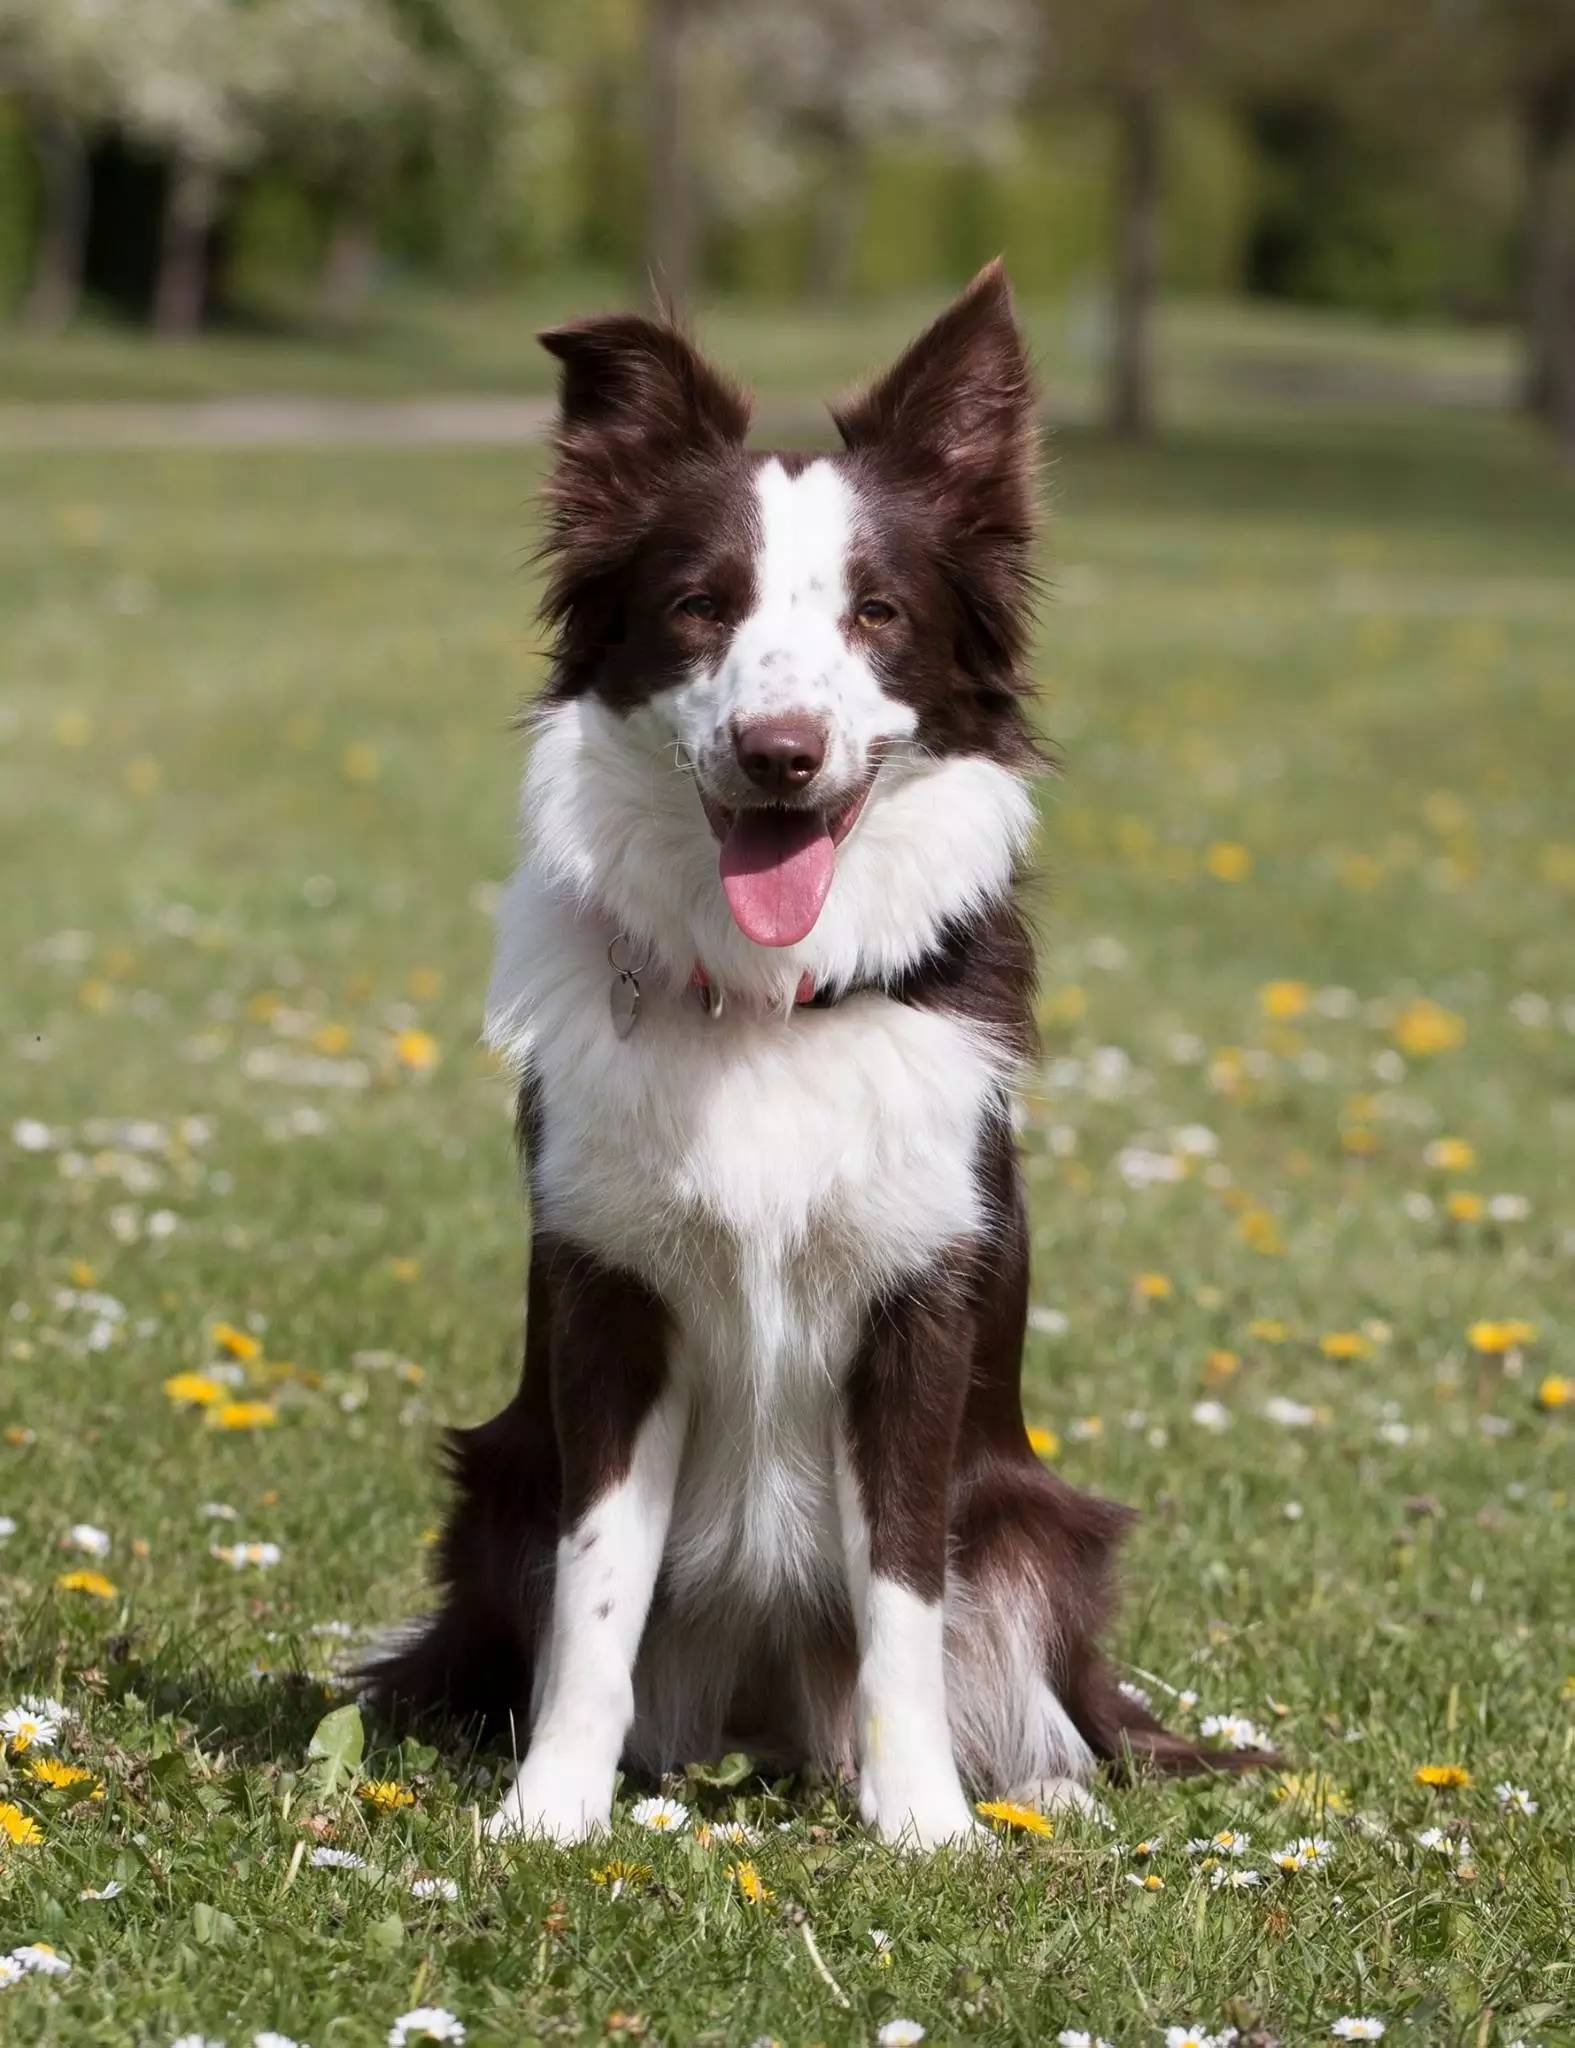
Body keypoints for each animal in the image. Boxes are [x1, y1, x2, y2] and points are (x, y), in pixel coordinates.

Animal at [368, 264, 1253, 1851]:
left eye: (877, 613)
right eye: (698, 607)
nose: (779, 751)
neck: (773, 1004)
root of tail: (767, 1722)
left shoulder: (914, 1314)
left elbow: (904, 1595)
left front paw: (926, 1827)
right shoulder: (609, 1301)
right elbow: (597, 1595)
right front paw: (550, 1812)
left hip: (1035, 1519)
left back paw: (1033, 1791)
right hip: (498, 1482)